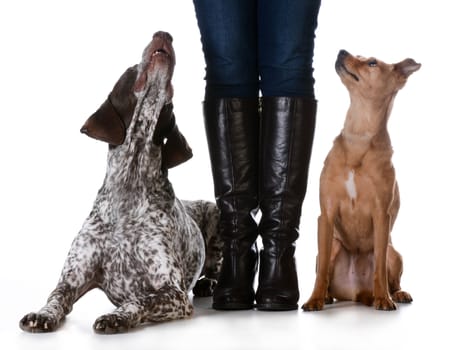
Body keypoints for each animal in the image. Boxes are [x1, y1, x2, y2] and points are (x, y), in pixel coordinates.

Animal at [21, 30, 223, 334]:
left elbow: (139, 301)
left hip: (216, 215)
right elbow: (55, 298)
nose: (163, 34)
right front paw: (42, 314)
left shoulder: (172, 292)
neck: (130, 182)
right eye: (131, 69)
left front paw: (116, 317)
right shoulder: (71, 279)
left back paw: (208, 284)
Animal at [302, 50, 422, 310]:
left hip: (394, 252)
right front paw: (314, 299)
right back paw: (327, 296)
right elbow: (321, 271)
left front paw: (384, 299)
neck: (359, 134)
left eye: (372, 63)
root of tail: (356, 293)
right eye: (357, 55)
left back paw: (395, 294)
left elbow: (380, 269)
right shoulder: (326, 214)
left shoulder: (381, 215)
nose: (342, 51)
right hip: (335, 245)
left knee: (389, 274)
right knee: (326, 271)